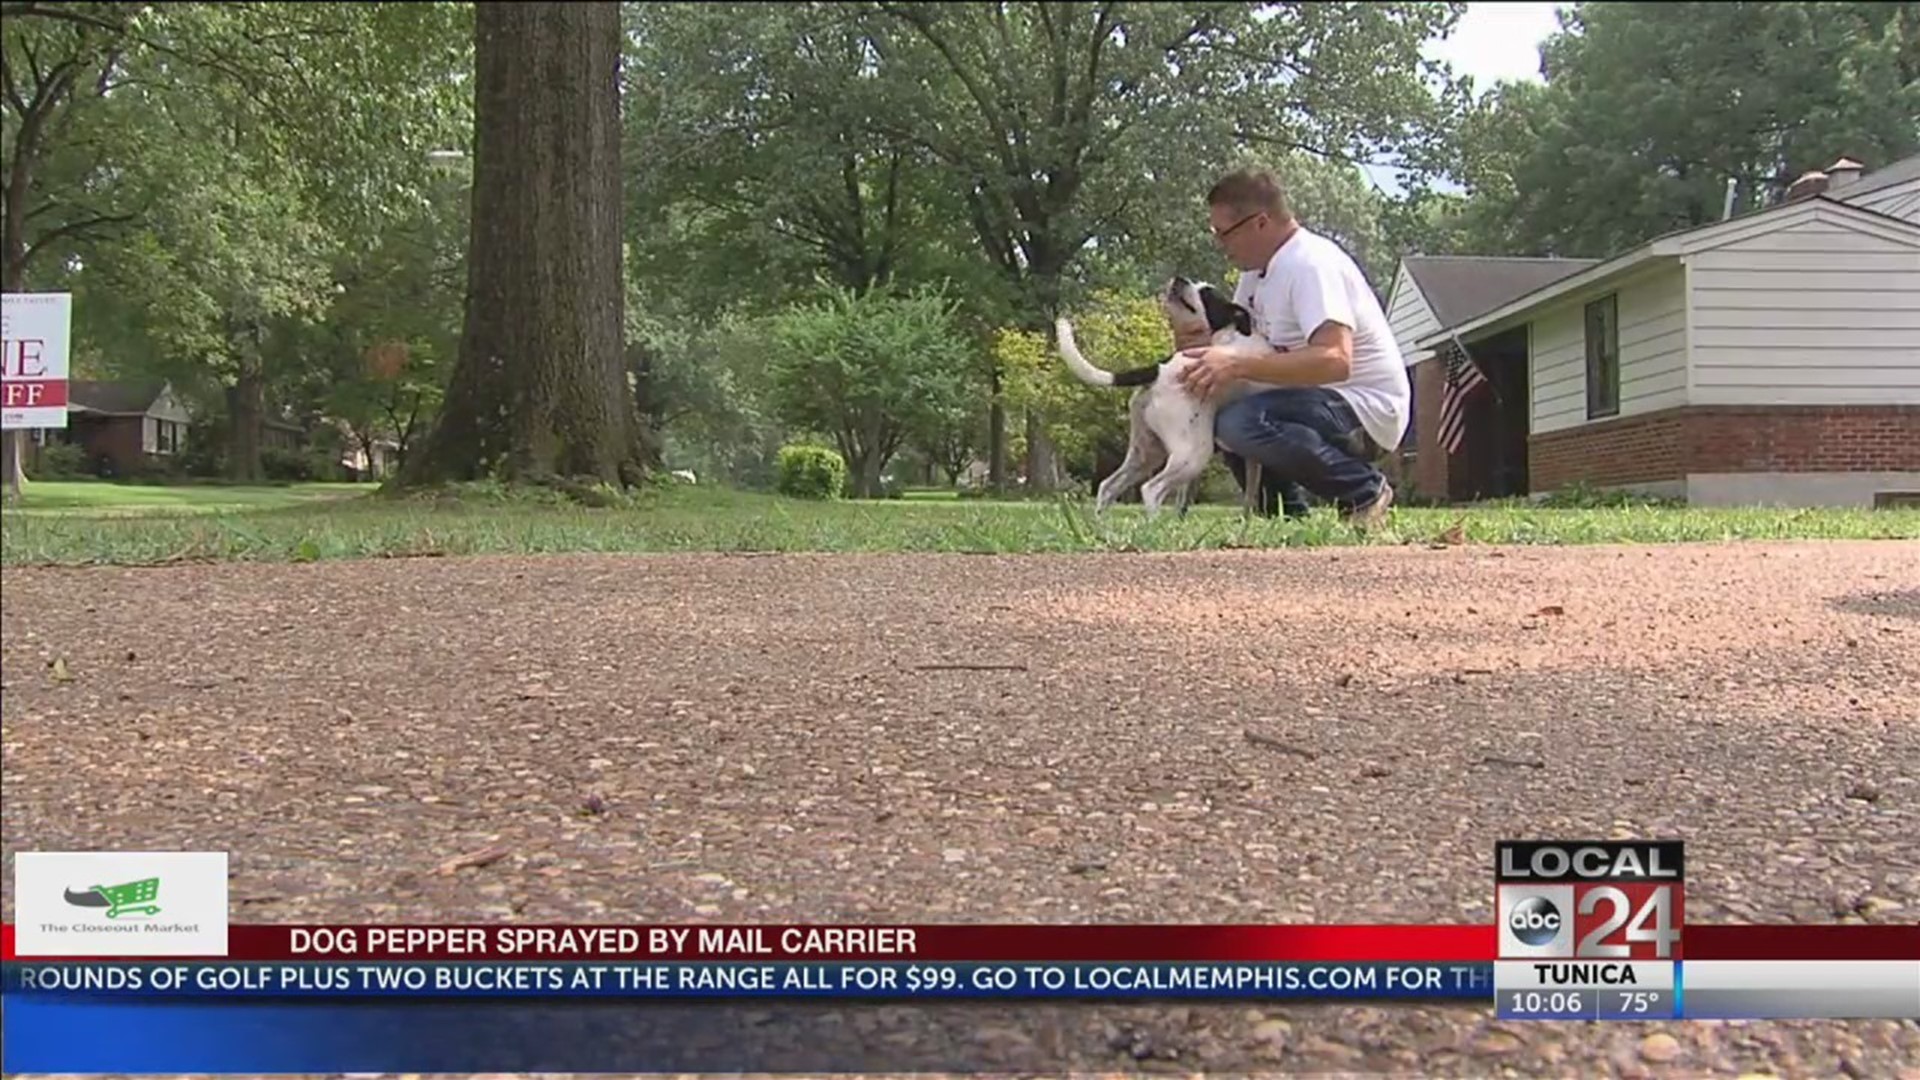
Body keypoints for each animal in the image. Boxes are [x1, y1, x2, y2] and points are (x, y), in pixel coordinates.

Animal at [1052, 274, 1274, 515]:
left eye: (1206, 293)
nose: (1180, 279)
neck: (1230, 336)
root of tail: (1160, 370)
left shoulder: (1252, 459)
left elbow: (1250, 494)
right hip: (1192, 454)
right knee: (1151, 489)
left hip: (1145, 452)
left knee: (1108, 486)